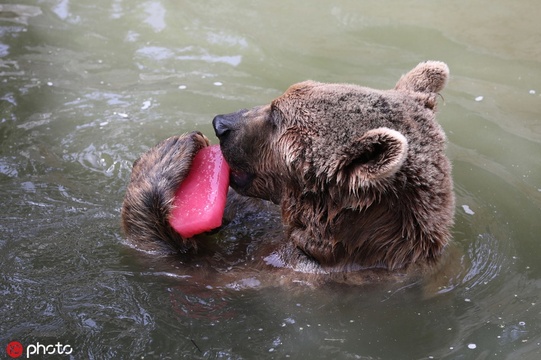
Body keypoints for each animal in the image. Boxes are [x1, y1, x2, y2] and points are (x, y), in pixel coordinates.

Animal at [120, 62, 454, 284]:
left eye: (276, 117)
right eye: (276, 103)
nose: (221, 124)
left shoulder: (287, 271)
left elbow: (188, 271)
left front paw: (168, 156)